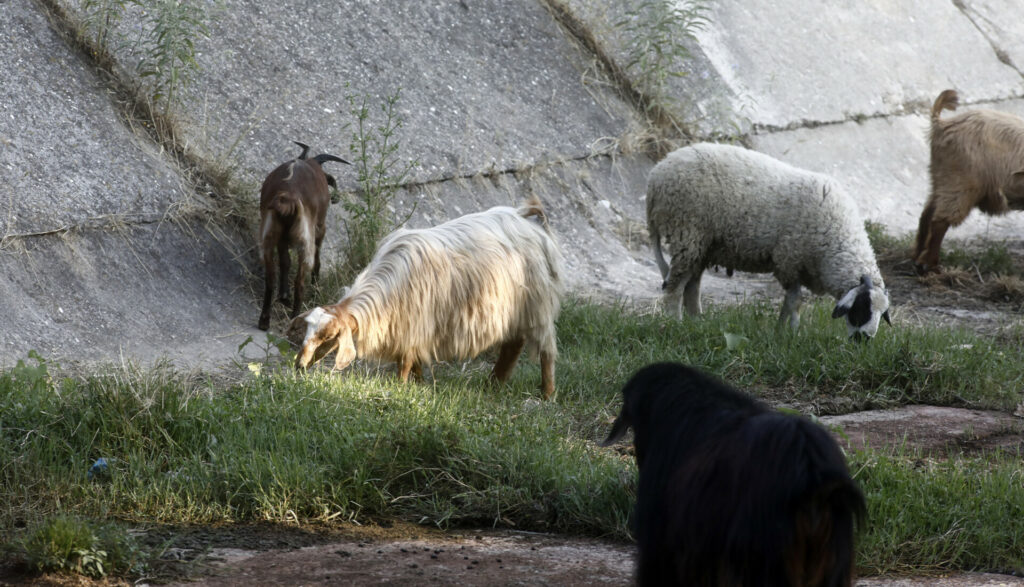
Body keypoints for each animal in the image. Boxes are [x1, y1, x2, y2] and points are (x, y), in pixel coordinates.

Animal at [258, 143, 350, 329]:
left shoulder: (282, 239)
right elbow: (317, 260)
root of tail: (287, 198)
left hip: (269, 235)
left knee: (271, 277)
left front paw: (284, 296)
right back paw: (296, 318)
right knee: (300, 280)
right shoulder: (320, 227)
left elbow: (285, 262)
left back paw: (264, 320)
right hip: (306, 238)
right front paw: (315, 287)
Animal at [296, 196, 565, 397]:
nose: (299, 365)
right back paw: (495, 384)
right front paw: (421, 385)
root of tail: (524, 217)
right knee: (514, 343)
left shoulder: (414, 324)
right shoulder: (411, 329)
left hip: (538, 303)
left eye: (328, 336)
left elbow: (405, 362)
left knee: (546, 351)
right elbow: (414, 361)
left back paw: (547, 393)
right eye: (307, 329)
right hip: (517, 308)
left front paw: (401, 388)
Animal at [651, 143, 892, 338]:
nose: (864, 340)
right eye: (861, 308)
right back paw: (675, 323)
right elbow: (795, 301)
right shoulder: (788, 261)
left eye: (881, 314)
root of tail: (658, 171)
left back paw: (697, 324)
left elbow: (788, 302)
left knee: (692, 287)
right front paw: (793, 333)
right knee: (674, 288)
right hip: (687, 233)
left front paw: (780, 330)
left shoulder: (795, 267)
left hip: (701, 246)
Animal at [917, 90, 1024, 274]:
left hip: (941, 178)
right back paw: (930, 264)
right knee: (941, 220)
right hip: (962, 181)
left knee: (927, 213)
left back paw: (917, 256)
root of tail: (942, 124)